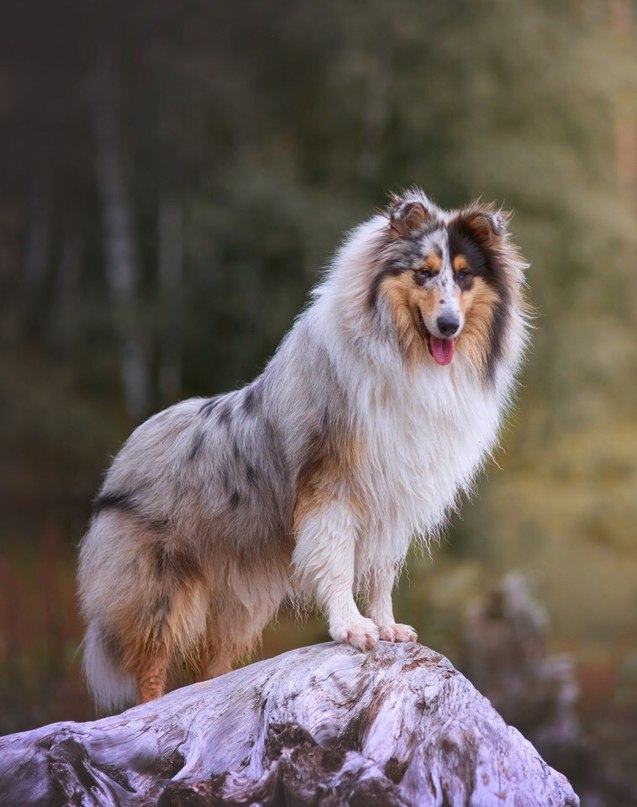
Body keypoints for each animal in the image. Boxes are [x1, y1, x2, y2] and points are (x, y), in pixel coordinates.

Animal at [77, 188, 528, 708]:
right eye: (423, 272)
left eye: (465, 274)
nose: (449, 325)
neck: (406, 356)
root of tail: (124, 454)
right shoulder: (332, 488)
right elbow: (337, 563)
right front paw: (353, 628)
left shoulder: (393, 498)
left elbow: (380, 574)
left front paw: (388, 626)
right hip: (159, 591)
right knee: (150, 666)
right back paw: (152, 712)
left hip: (236, 605)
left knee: (209, 669)